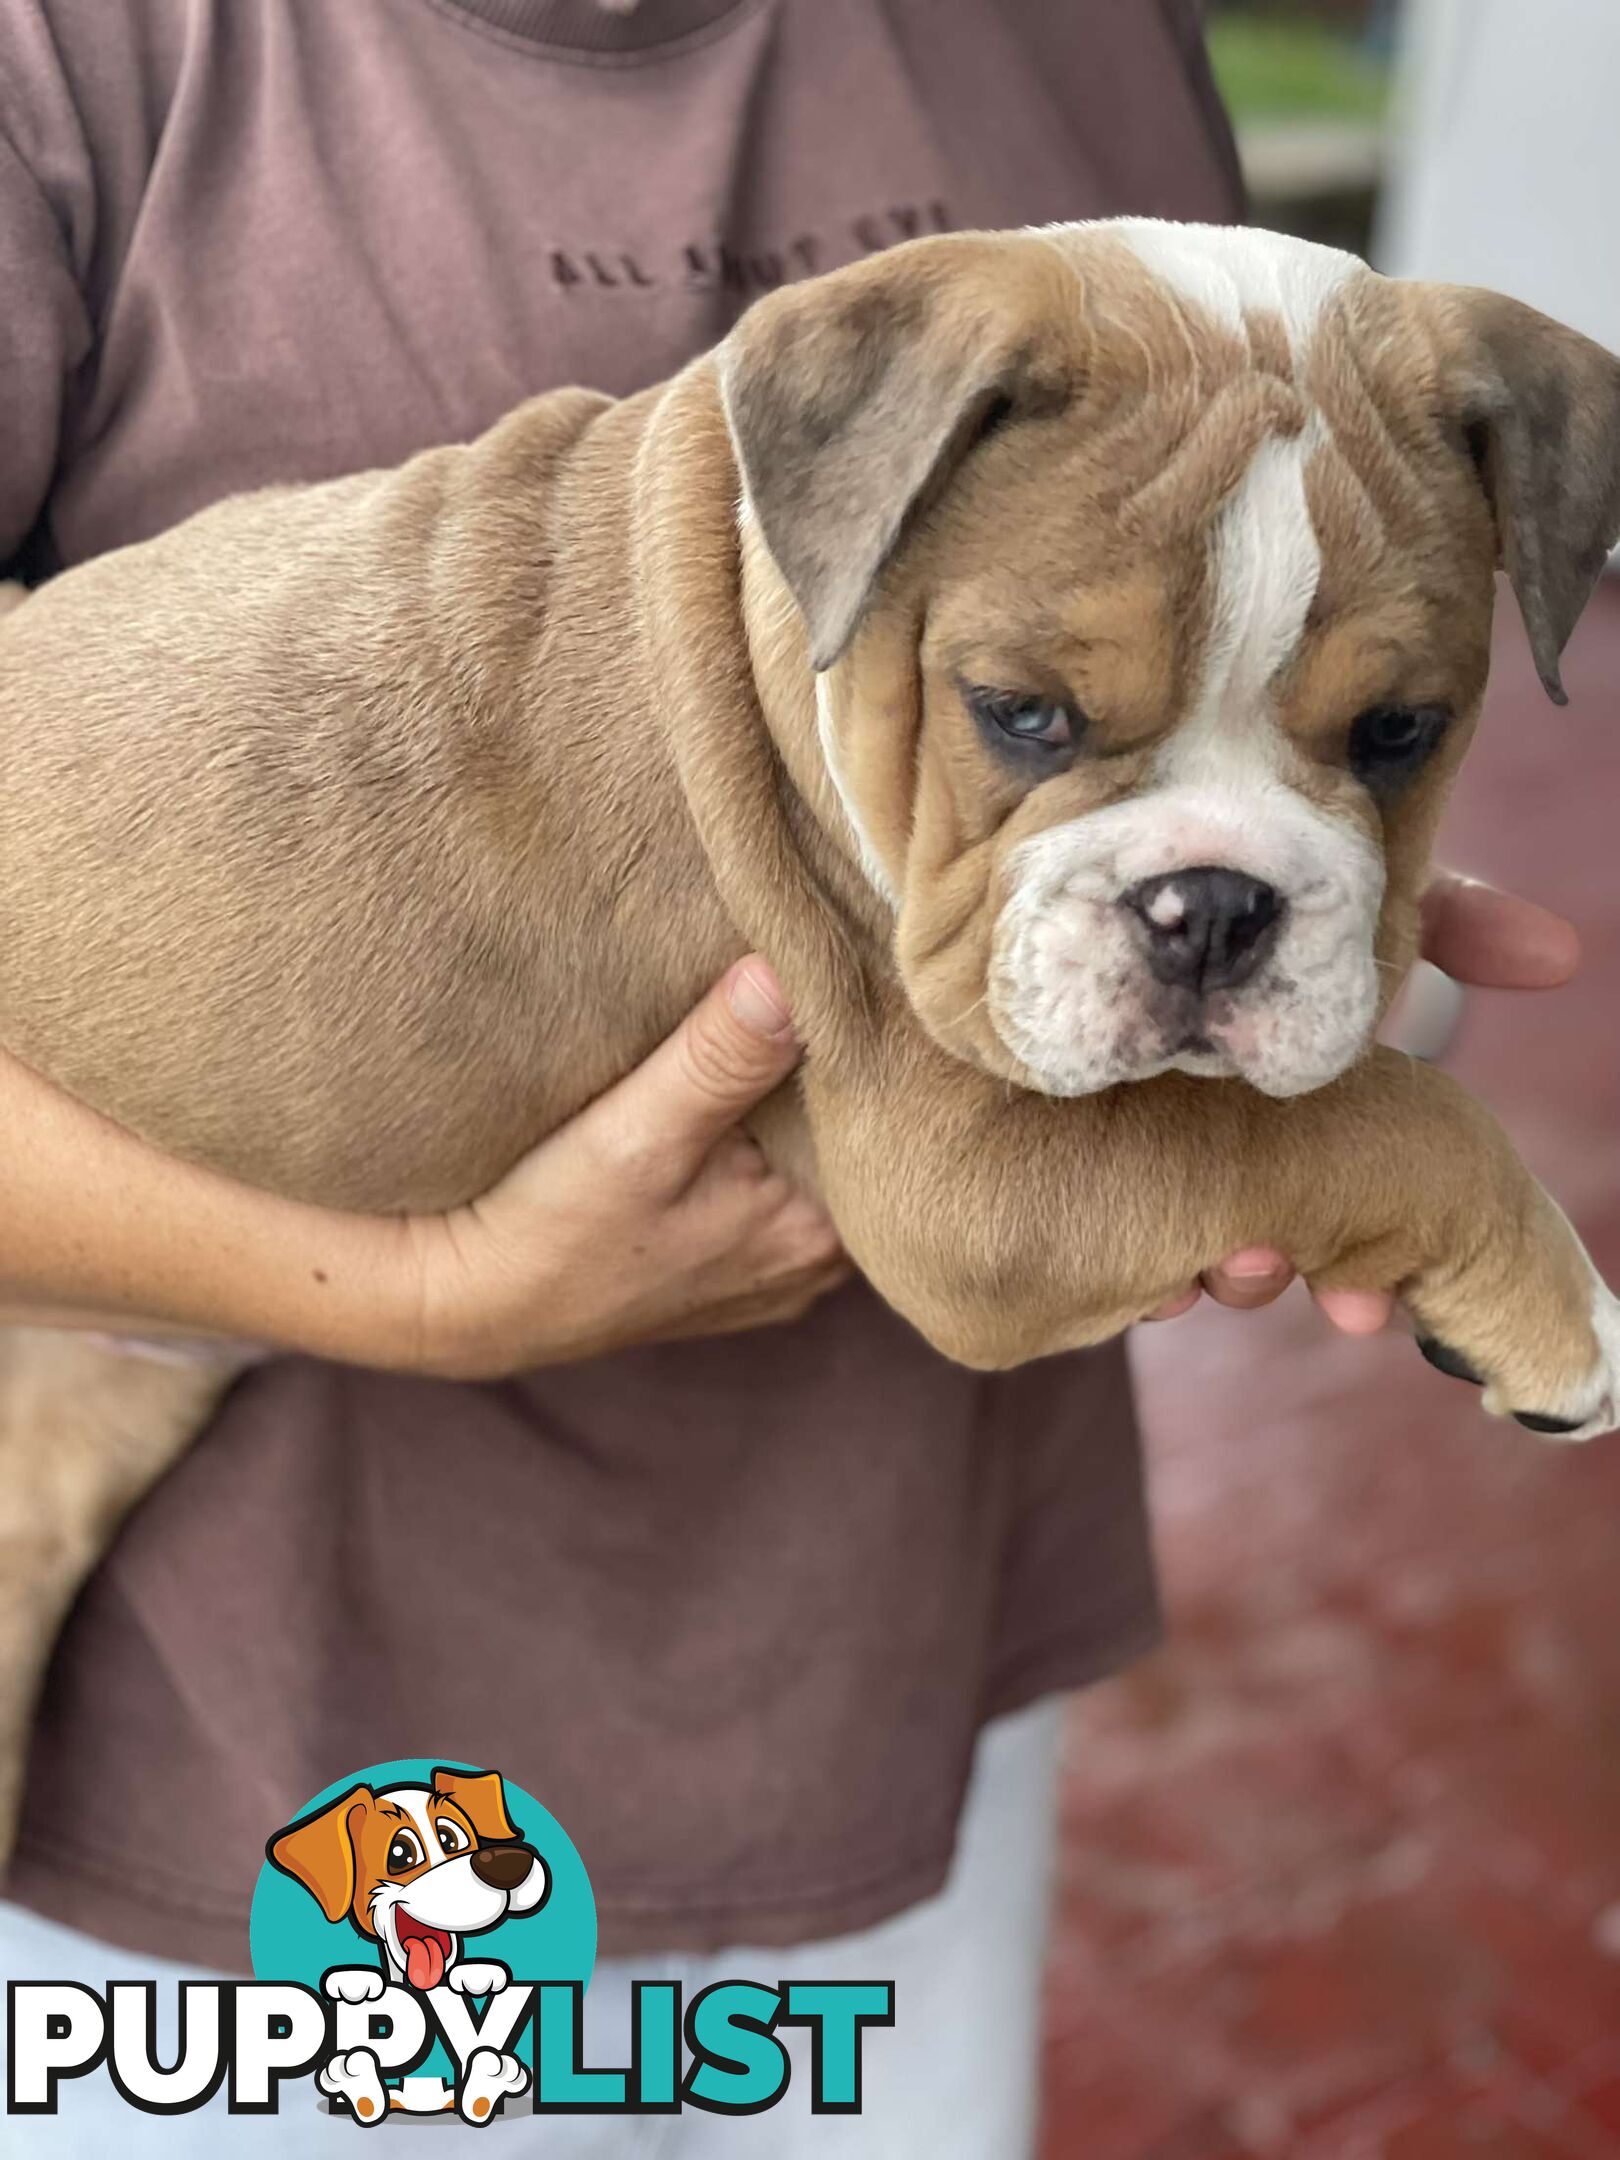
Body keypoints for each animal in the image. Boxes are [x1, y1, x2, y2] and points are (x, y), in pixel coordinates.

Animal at [3, 227, 1620, 1866]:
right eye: (1021, 714)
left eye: (1401, 732)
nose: (1215, 908)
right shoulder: (970, 1189)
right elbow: (1358, 1123)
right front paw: (1564, 1312)